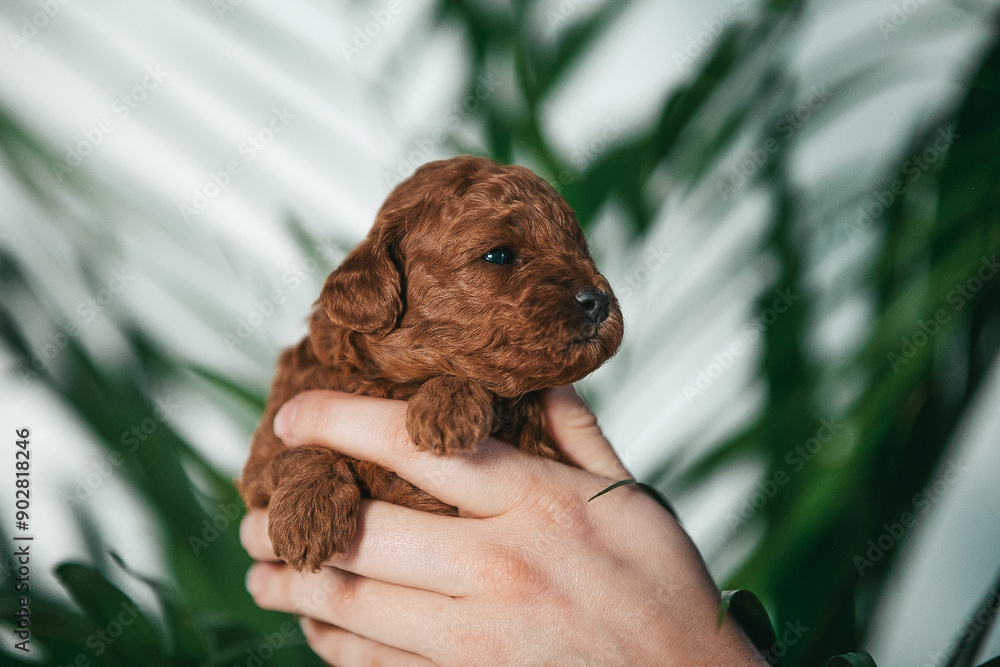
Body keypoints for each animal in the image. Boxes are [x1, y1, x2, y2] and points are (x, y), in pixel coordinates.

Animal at [237, 154, 620, 572]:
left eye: (580, 249)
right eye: (499, 255)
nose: (598, 300)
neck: (397, 382)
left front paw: (447, 407)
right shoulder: (261, 461)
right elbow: (296, 451)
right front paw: (307, 516)